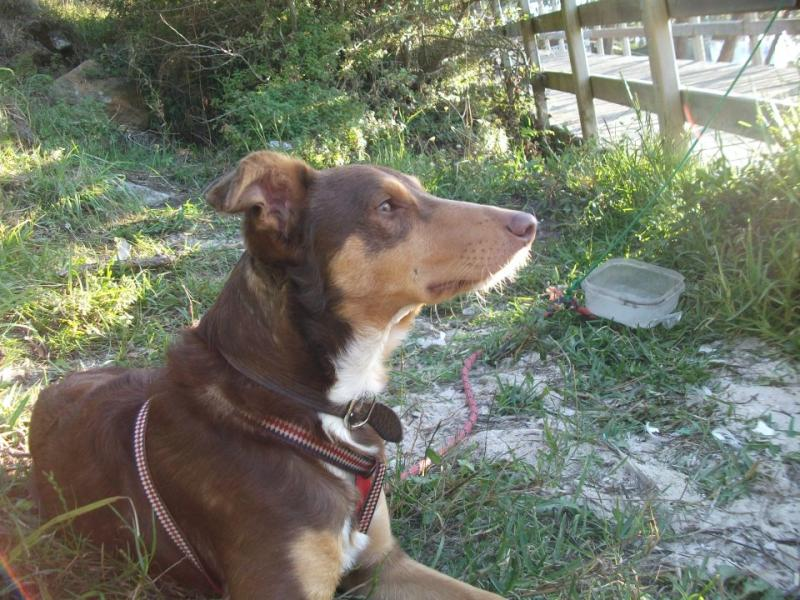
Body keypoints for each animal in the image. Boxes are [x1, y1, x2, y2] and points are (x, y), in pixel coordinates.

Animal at [29, 151, 536, 599]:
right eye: (386, 206)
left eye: (421, 190)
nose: (529, 224)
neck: (316, 404)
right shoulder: (279, 587)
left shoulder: (384, 564)